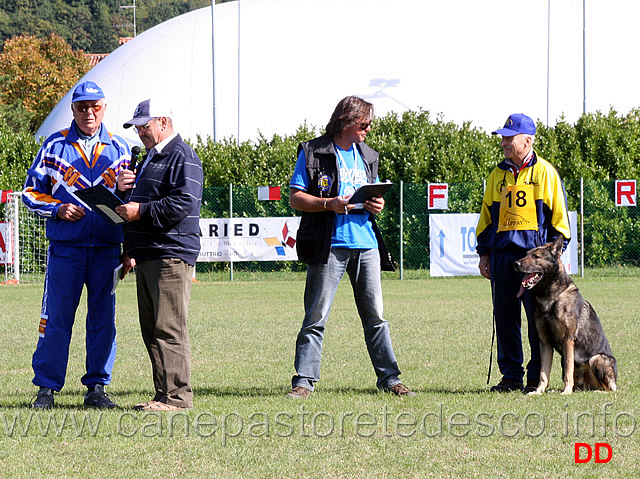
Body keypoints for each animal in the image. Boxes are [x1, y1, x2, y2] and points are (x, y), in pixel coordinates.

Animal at [516, 234, 616, 396]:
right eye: (526, 254)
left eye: (536, 256)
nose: (515, 264)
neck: (551, 297)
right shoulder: (545, 342)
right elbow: (543, 373)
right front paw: (538, 391)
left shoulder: (568, 340)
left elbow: (569, 372)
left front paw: (566, 392)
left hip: (596, 358)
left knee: (609, 389)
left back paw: (593, 391)